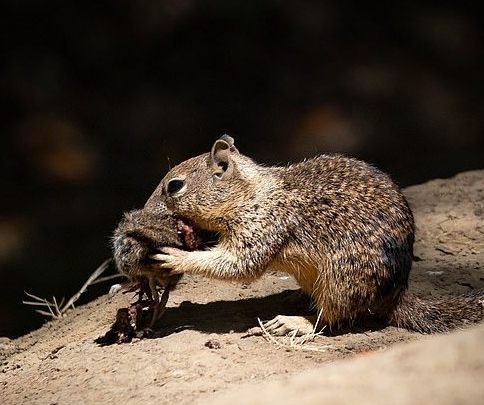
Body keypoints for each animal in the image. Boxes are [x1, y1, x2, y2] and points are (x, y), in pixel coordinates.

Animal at [142, 136, 482, 334]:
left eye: (175, 186)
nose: (144, 210)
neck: (249, 194)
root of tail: (395, 294)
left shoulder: (262, 225)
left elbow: (239, 264)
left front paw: (176, 257)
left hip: (342, 280)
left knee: (333, 318)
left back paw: (294, 322)